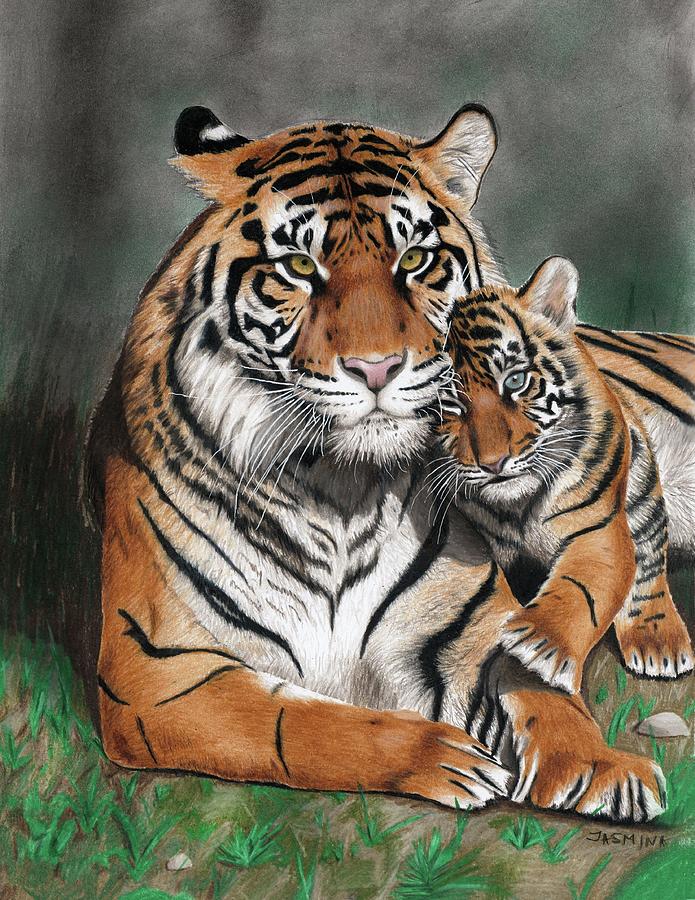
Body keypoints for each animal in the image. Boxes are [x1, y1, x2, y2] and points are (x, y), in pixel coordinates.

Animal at [432, 256, 694, 696]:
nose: (493, 463)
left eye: (516, 380)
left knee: (650, 551)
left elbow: (584, 587)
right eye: (449, 403)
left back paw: (658, 641)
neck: (518, 506)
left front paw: (539, 645)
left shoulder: (599, 530)